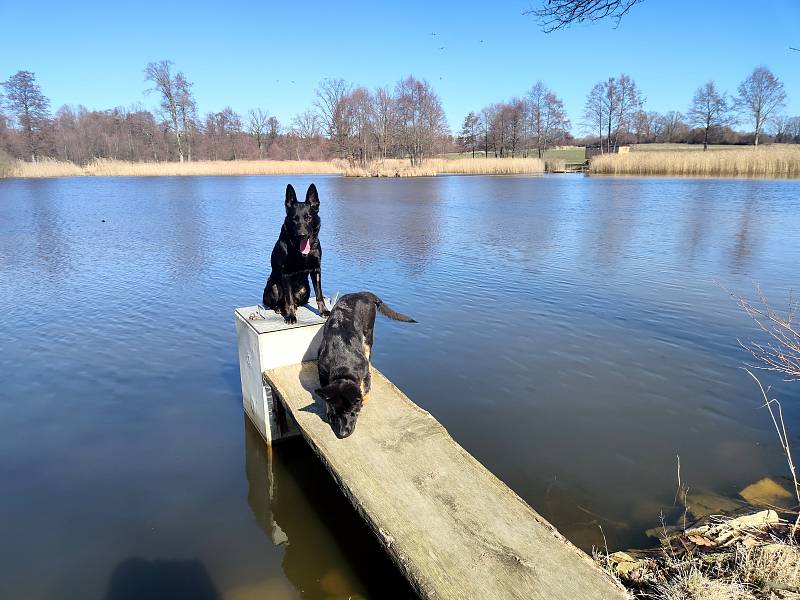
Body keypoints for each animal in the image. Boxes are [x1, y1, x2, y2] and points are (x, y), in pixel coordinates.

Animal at [264, 183, 330, 324]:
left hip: (306, 289)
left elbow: (319, 294)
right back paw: (280, 308)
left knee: (297, 302)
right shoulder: (286, 274)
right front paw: (290, 316)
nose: (302, 235)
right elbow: (288, 299)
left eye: (308, 218)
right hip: (274, 286)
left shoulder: (316, 270)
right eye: (294, 219)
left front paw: (324, 311)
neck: (301, 252)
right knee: (280, 302)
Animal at [316, 292, 416, 438]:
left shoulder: (362, 369)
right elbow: (326, 397)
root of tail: (364, 293)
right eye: (337, 412)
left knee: (369, 360)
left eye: (351, 411)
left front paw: (364, 396)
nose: (342, 434)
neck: (342, 368)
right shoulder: (322, 373)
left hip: (368, 336)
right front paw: (329, 411)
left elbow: (364, 385)